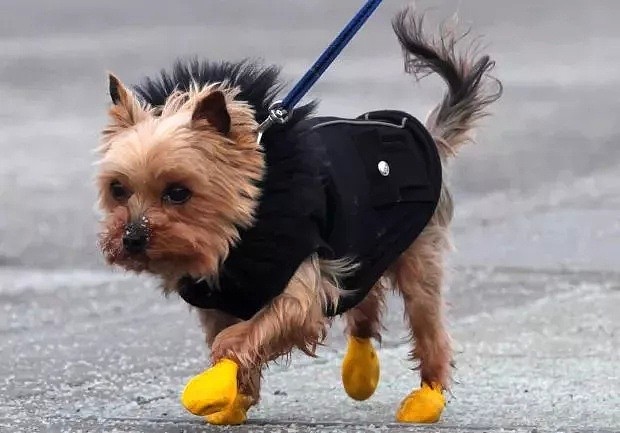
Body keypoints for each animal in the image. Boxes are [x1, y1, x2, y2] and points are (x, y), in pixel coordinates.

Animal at [98, 5, 504, 426]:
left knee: (428, 327)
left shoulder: (299, 292)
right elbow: (230, 337)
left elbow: (243, 336)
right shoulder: (220, 300)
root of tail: (425, 135)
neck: (238, 238)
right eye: (118, 189)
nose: (131, 238)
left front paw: (219, 384)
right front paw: (236, 397)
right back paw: (361, 369)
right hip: (365, 245)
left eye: (178, 193)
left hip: (416, 253)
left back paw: (427, 397)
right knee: (365, 300)